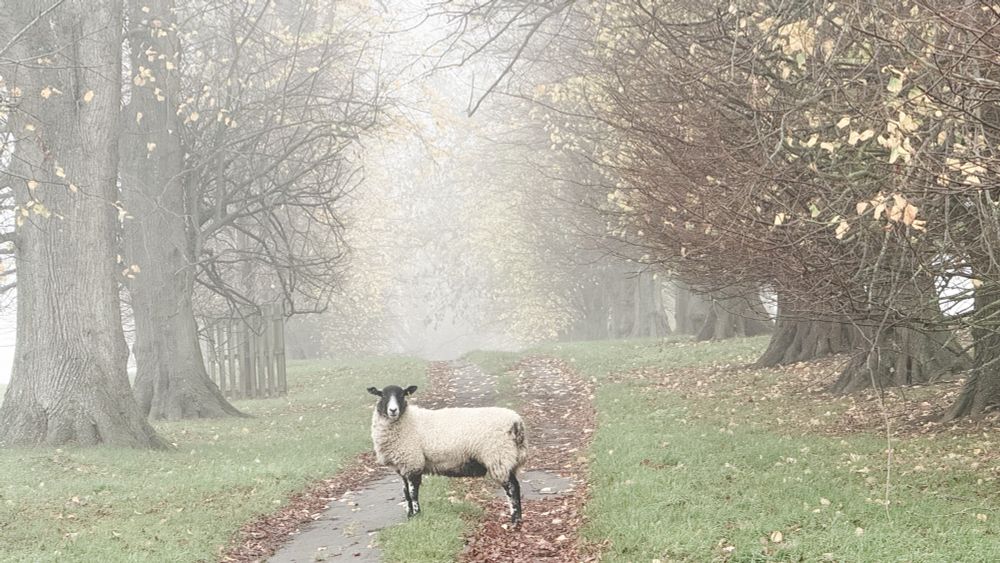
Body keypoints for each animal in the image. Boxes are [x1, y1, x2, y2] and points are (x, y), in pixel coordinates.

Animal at [366, 384, 528, 523]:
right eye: (382, 395)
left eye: (402, 394)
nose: (393, 410)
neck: (407, 419)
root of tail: (517, 422)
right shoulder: (403, 467)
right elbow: (405, 493)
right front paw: (409, 517)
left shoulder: (413, 462)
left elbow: (413, 493)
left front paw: (417, 515)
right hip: (508, 459)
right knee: (516, 486)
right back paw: (518, 519)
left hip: (499, 457)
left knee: (512, 488)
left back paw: (515, 520)